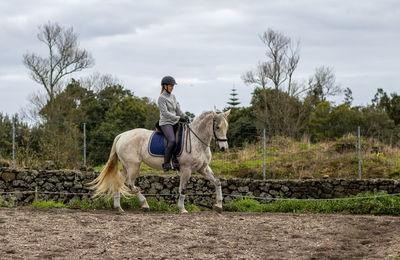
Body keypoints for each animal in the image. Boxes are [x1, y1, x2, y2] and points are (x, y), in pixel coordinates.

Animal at [88, 109, 230, 213]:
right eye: (217, 127)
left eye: (226, 127)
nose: (224, 148)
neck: (197, 141)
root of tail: (122, 135)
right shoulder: (186, 169)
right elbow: (183, 189)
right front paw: (182, 209)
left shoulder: (203, 168)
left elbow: (217, 182)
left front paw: (219, 206)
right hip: (134, 165)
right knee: (130, 184)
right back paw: (145, 205)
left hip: (126, 166)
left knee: (118, 182)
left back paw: (119, 208)